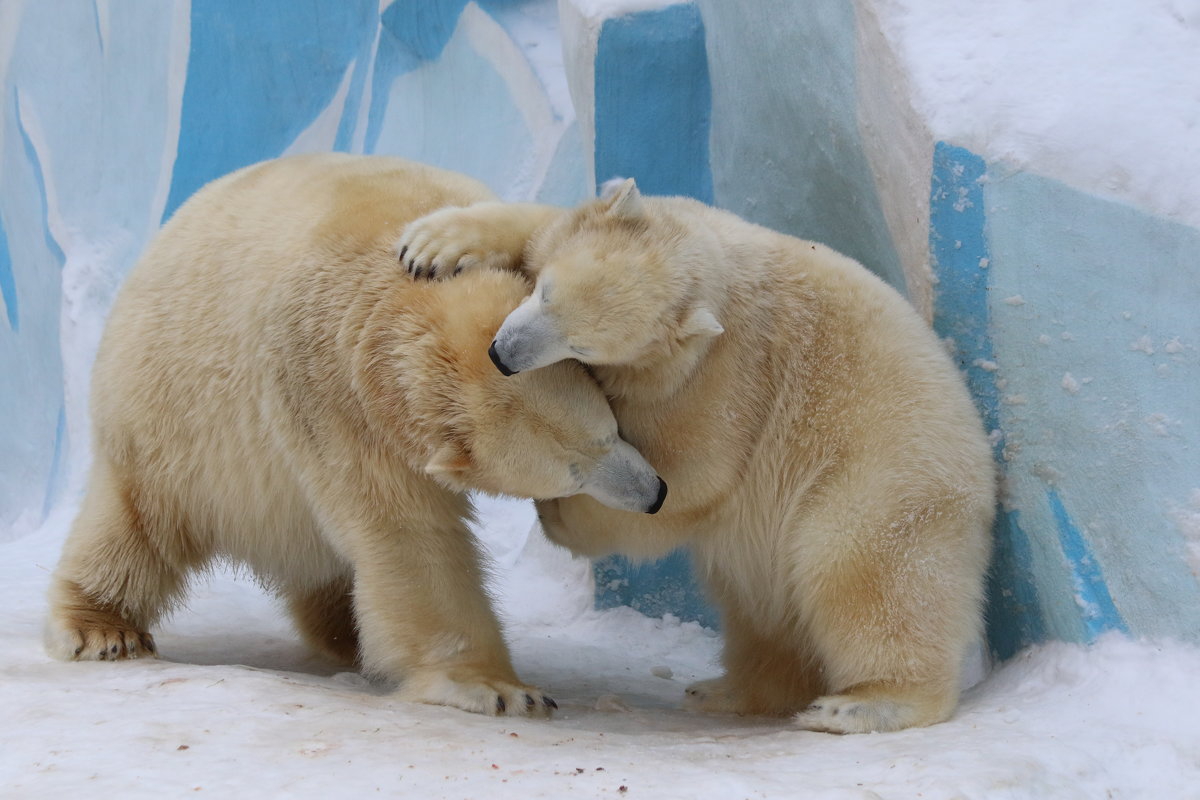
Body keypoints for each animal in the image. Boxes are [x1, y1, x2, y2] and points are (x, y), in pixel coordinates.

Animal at [44, 153, 667, 714]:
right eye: (570, 475)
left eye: (610, 428)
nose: (656, 494)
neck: (394, 295)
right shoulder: (333, 396)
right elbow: (407, 533)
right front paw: (500, 688)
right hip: (167, 423)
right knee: (135, 527)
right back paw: (104, 629)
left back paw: (345, 633)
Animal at [398, 179, 998, 734]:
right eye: (544, 292)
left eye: (584, 346)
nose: (502, 354)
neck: (716, 276)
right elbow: (540, 226)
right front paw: (432, 246)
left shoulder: (722, 380)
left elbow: (690, 472)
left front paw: (564, 517)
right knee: (763, 608)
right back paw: (724, 690)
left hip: (883, 480)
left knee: (867, 574)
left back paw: (859, 704)